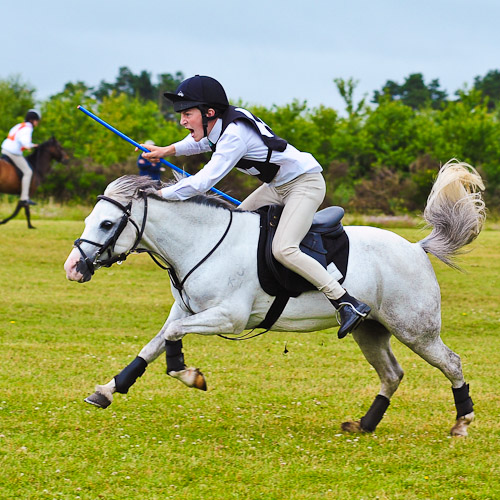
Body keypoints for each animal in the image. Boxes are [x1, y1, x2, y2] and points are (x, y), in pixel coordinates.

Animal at [64, 159, 486, 434]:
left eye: (107, 223)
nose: (73, 268)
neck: (201, 240)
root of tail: (416, 248)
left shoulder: (228, 316)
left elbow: (171, 339)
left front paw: (188, 373)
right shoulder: (183, 310)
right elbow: (153, 345)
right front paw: (108, 390)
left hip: (415, 329)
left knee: (451, 363)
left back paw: (462, 421)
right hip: (371, 330)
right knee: (392, 374)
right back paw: (365, 424)